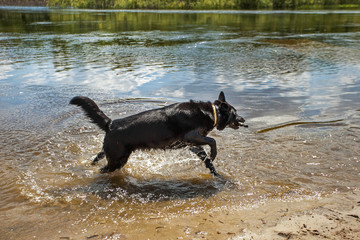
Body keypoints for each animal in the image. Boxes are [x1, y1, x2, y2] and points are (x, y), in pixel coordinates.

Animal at [69, 92, 246, 176]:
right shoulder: (191, 136)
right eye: (235, 112)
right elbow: (213, 141)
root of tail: (110, 123)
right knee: (104, 169)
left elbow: (207, 160)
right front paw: (214, 154)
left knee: (97, 157)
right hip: (117, 160)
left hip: (112, 152)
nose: (243, 119)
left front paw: (216, 174)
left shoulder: (193, 144)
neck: (211, 112)